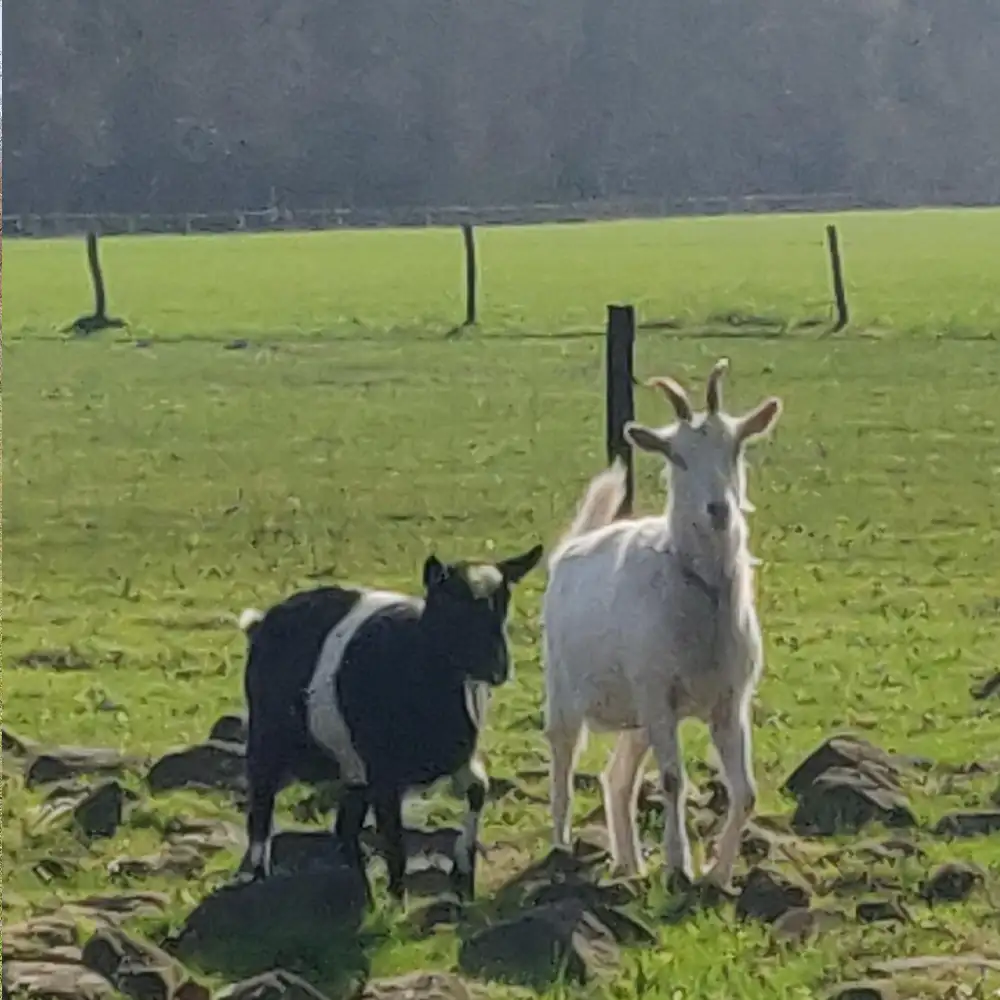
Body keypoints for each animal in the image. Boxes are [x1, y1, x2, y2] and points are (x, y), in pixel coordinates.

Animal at [237, 544, 544, 904]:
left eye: (504, 601)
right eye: (452, 605)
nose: (497, 668)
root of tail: (263, 622)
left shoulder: (457, 758)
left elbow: (477, 791)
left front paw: (462, 876)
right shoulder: (383, 777)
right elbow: (394, 841)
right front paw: (398, 900)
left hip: (352, 771)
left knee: (345, 829)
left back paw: (356, 885)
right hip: (266, 741)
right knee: (261, 814)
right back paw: (262, 876)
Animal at [540, 360, 780, 892]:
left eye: (736, 446)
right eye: (677, 456)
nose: (719, 510)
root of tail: (573, 545)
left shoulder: (729, 699)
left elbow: (746, 791)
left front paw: (719, 874)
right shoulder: (659, 692)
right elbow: (673, 780)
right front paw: (679, 866)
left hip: (639, 715)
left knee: (617, 776)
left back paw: (629, 862)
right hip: (567, 688)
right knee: (562, 754)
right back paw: (561, 842)